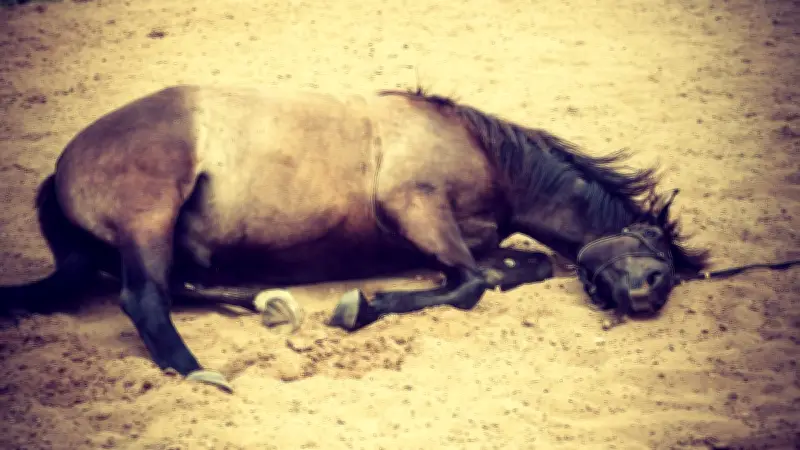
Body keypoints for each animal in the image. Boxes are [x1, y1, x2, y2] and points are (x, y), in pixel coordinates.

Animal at [0, 85, 710, 392]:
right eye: (657, 262)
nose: (649, 296)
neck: (487, 158)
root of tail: (62, 167)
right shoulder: (416, 207)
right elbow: (470, 285)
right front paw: (360, 307)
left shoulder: (470, 236)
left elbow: (512, 269)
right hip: (149, 217)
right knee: (144, 298)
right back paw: (200, 370)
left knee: (176, 286)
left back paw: (265, 303)